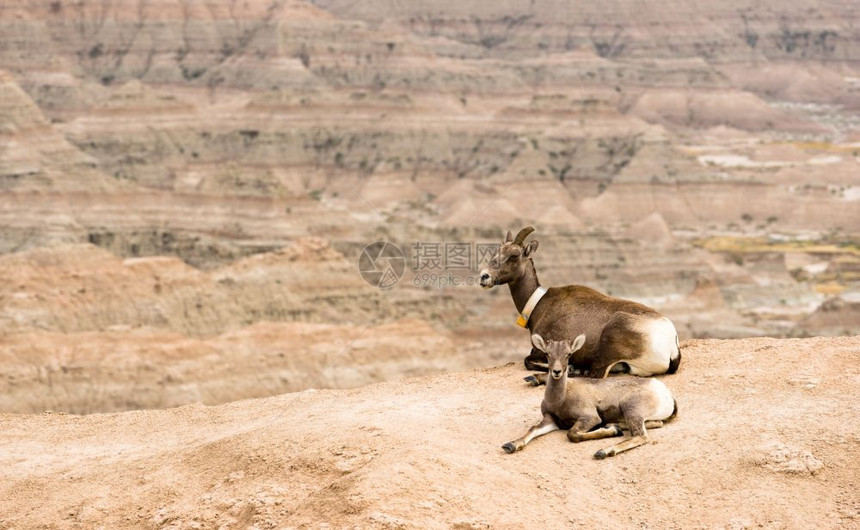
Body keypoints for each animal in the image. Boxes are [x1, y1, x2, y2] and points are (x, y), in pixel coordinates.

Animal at [478, 225, 680, 378]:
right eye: (496, 252)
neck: (539, 305)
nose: (484, 277)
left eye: (514, 255)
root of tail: (670, 343)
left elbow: (528, 362)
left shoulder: (540, 350)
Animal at [504, 332, 680, 456]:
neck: (560, 399)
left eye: (568, 354)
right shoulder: (550, 420)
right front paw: (511, 445)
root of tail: (666, 394)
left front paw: (611, 433)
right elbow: (532, 429)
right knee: (654, 425)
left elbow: (572, 434)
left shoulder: (589, 418)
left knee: (640, 436)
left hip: (631, 410)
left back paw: (605, 450)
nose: (557, 372)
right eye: (547, 353)